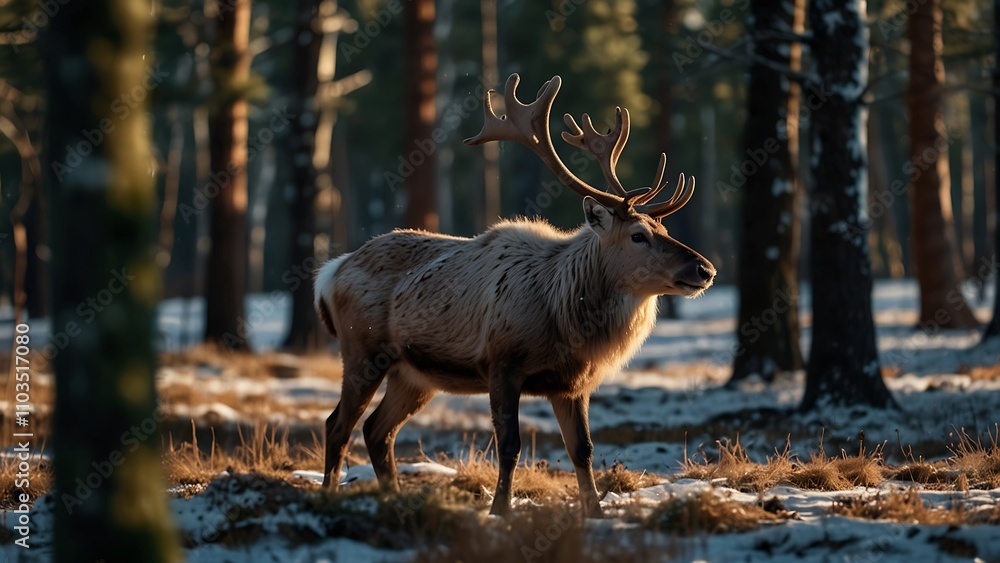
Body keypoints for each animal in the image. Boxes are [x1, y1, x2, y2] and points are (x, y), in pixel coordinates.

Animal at [313, 73, 715, 517]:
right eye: (638, 235)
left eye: (664, 230)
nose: (705, 270)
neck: (565, 316)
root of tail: (331, 273)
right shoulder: (502, 363)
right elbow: (509, 446)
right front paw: (499, 511)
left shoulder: (572, 383)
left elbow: (583, 450)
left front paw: (594, 512)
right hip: (362, 351)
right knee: (338, 423)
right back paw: (329, 495)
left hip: (413, 375)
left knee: (376, 429)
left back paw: (393, 498)